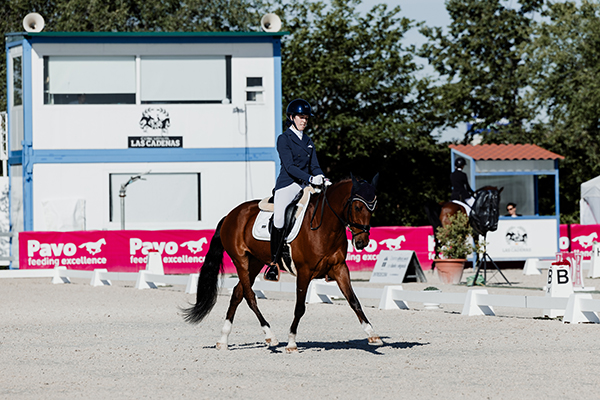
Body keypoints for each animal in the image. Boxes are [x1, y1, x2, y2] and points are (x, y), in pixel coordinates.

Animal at [180, 173, 382, 352]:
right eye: (357, 207)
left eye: (373, 208)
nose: (362, 242)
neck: (324, 225)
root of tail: (231, 214)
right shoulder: (304, 271)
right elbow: (299, 307)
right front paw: (291, 342)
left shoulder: (340, 268)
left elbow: (354, 301)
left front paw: (373, 335)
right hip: (241, 260)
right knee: (249, 296)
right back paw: (271, 336)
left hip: (255, 262)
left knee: (237, 293)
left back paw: (223, 340)